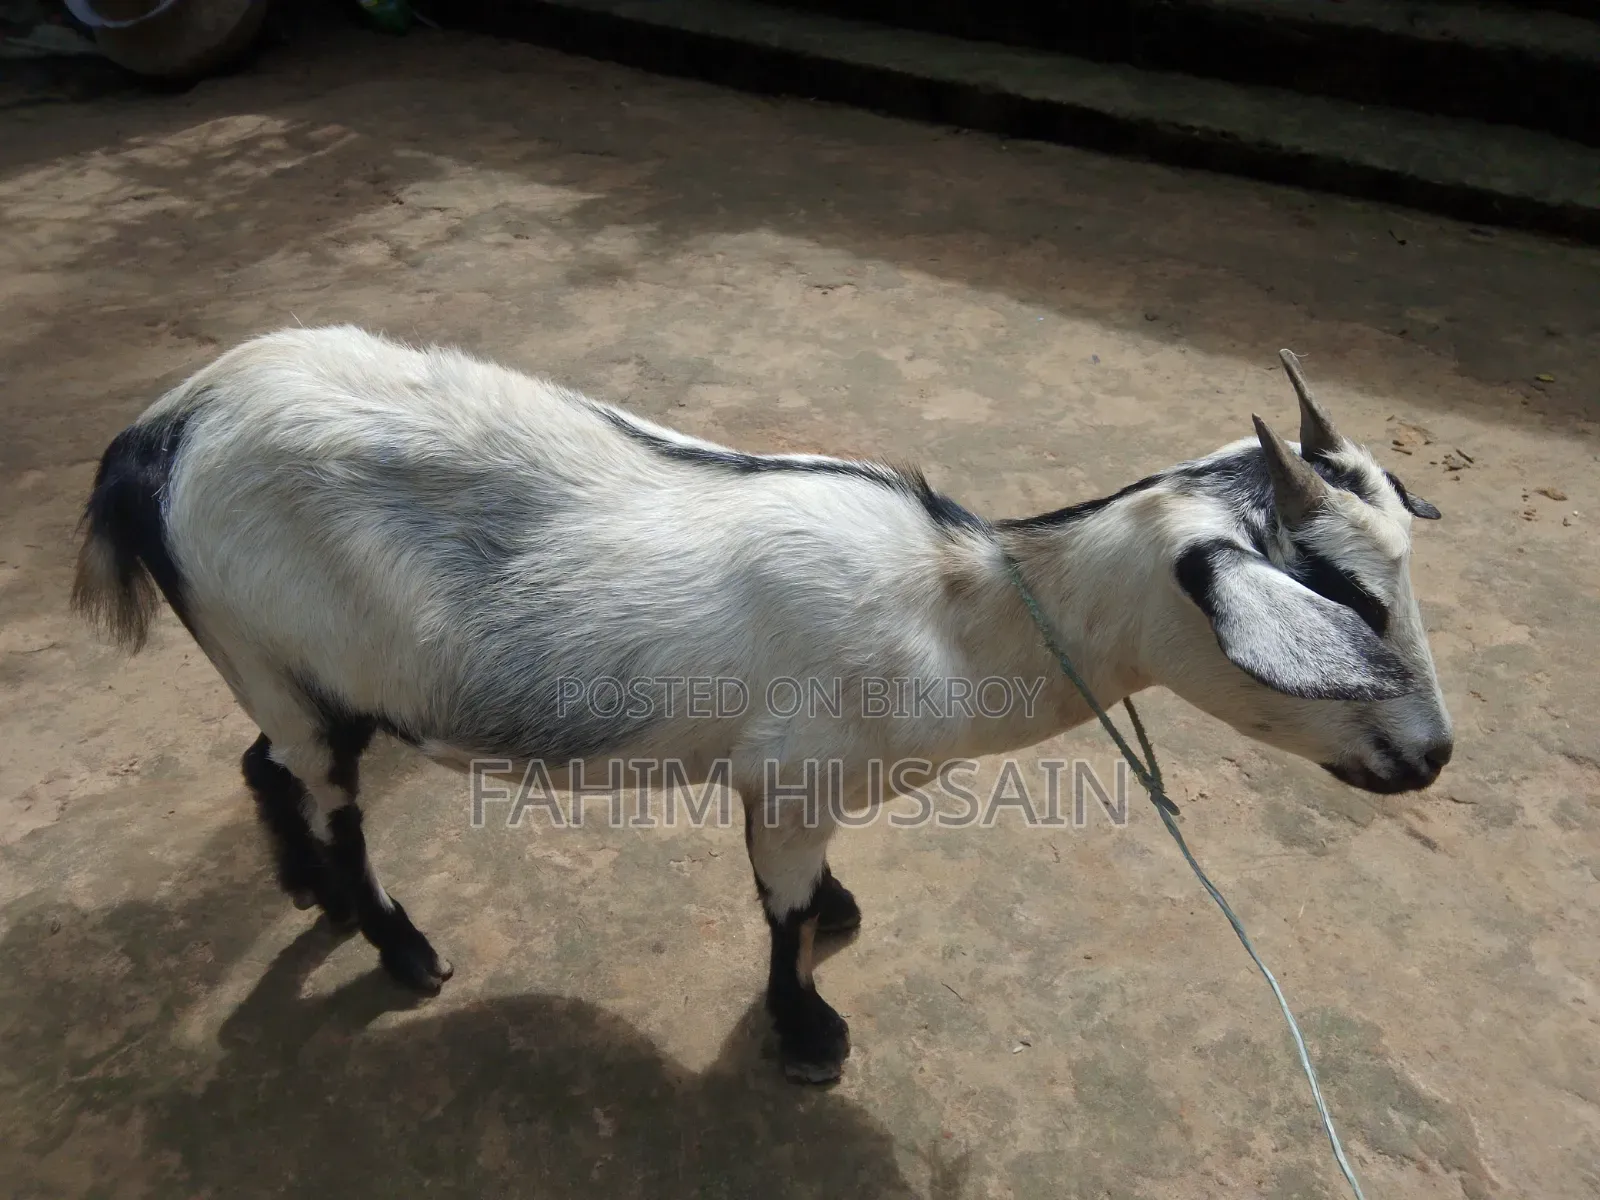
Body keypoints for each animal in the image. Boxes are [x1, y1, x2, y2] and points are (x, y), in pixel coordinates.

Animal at [73, 326, 1452, 1083]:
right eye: (1340, 592)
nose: (1431, 754)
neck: (961, 610)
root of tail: (159, 430)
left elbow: (809, 896)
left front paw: (841, 912)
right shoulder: (789, 776)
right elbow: (781, 911)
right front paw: (806, 1031)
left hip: (282, 667)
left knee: (270, 766)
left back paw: (303, 889)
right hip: (274, 648)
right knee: (334, 797)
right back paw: (401, 948)